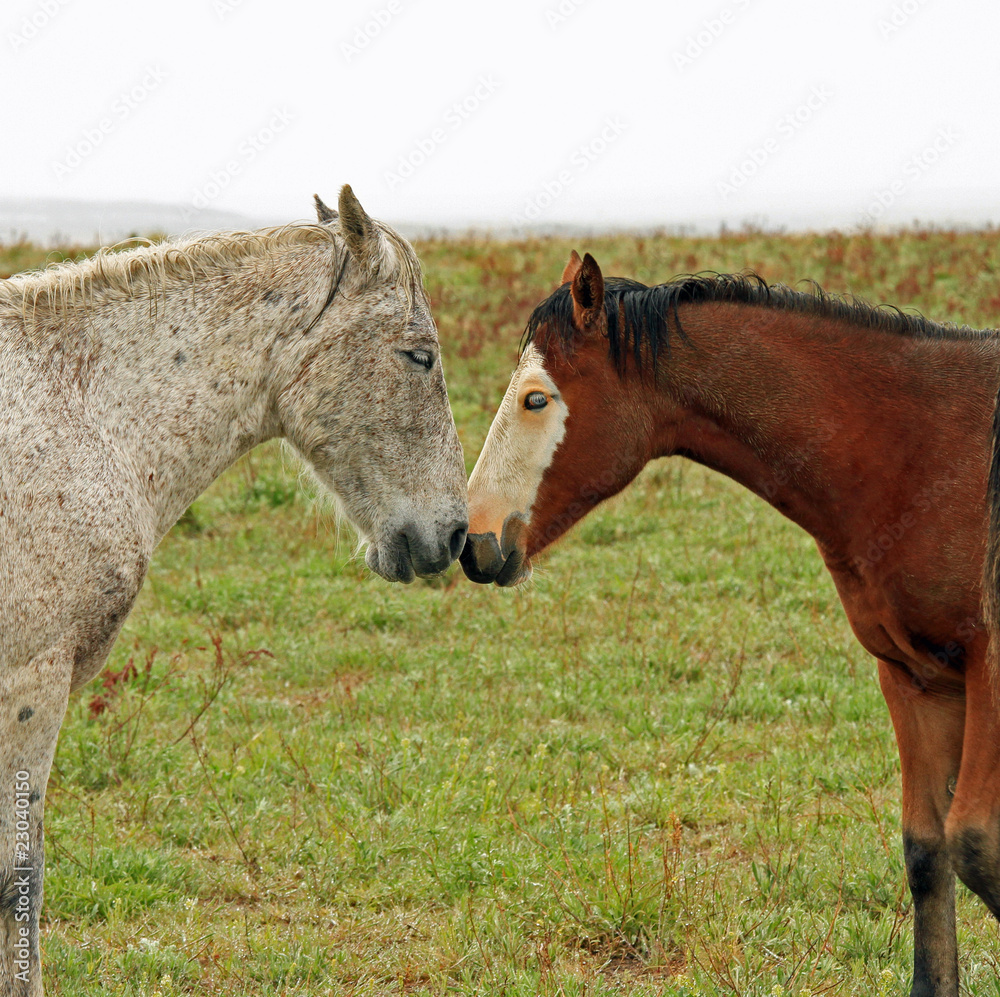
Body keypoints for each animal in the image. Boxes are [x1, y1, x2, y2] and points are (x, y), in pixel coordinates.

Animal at [460, 250, 1000, 997]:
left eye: (536, 399)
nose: (474, 542)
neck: (925, 449)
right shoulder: (914, 677)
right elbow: (928, 851)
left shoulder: (988, 669)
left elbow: (976, 844)